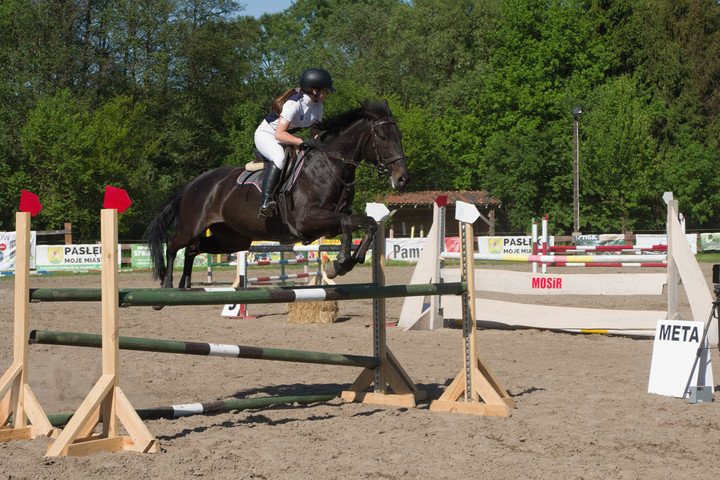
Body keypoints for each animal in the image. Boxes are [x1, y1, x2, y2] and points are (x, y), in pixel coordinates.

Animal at [145, 98, 410, 288]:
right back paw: (167, 284)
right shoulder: (306, 220)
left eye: (400, 136)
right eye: (383, 137)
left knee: (193, 249)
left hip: (232, 238)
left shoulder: (328, 223)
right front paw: (342, 261)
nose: (402, 178)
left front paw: (348, 262)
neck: (330, 166)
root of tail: (193, 184)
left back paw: (185, 283)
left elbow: (368, 223)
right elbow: (348, 223)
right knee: (174, 243)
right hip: (194, 226)